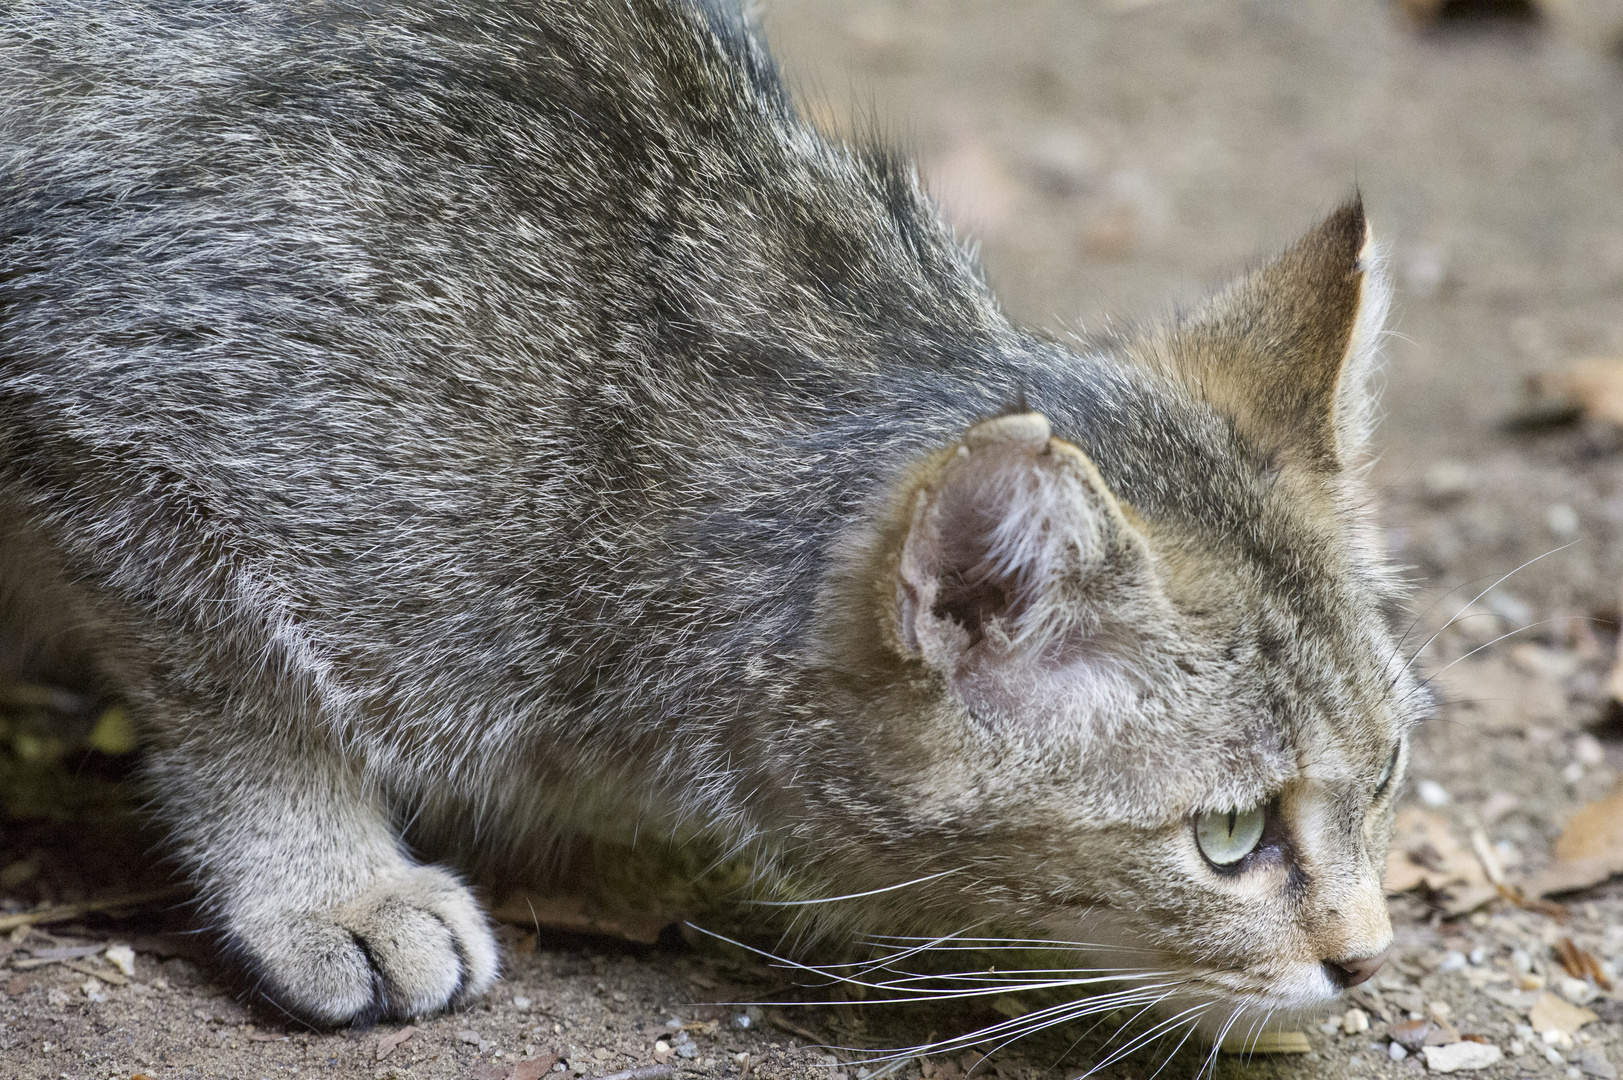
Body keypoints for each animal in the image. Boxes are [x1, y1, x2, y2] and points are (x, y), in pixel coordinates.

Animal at [0, 0, 1415, 1045]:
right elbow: (251, 701)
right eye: (1229, 837)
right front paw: (327, 883)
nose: (1369, 958)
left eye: (1391, 771)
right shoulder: (125, 436)